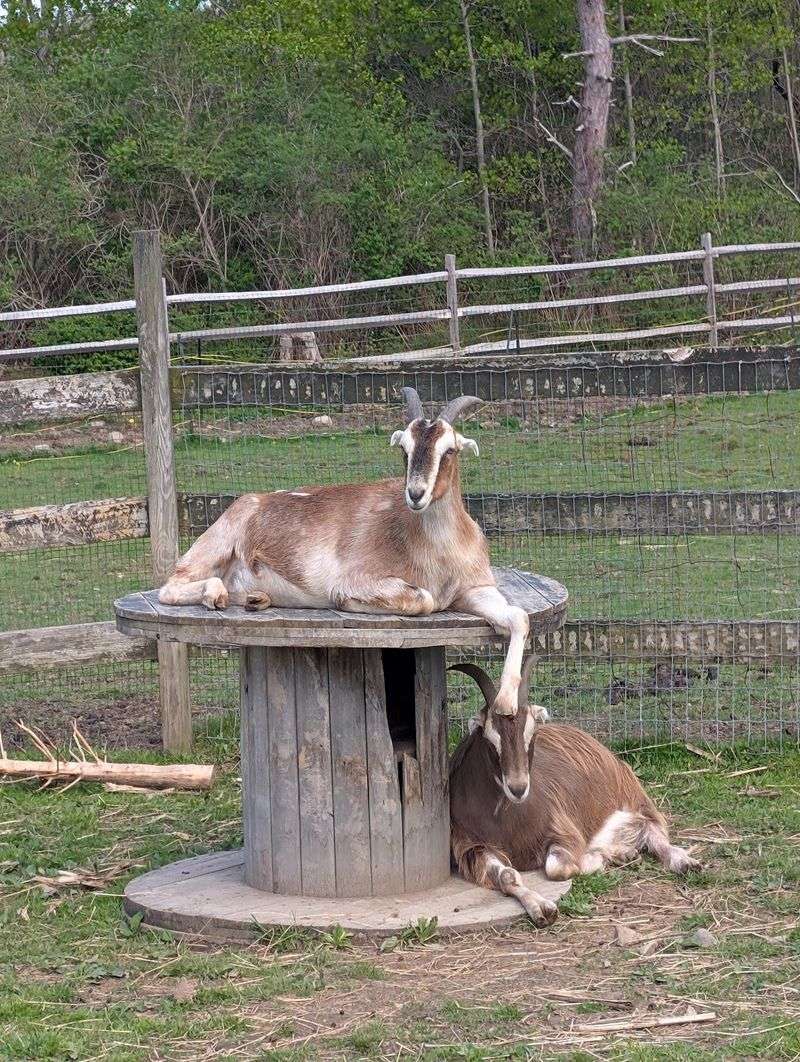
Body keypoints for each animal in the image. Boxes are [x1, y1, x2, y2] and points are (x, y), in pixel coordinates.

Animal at [158, 388, 530, 715]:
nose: (415, 494)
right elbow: (423, 599)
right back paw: (216, 594)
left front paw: (506, 703)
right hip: (215, 544)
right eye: (404, 449)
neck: (437, 550)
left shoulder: (474, 590)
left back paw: (256, 598)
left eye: (449, 450)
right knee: (171, 586)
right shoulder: (358, 580)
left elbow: (519, 616)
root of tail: (250, 501)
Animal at [449, 657, 700, 926]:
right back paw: (626, 853)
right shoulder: (470, 846)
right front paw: (542, 909)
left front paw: (595, 859)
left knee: (655, 832)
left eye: (532, 735)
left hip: (633, 795)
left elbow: (559, 868)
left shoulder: (562, 828)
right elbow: (507, 876)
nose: (518, 788)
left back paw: (684, 862)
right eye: (489, 740)